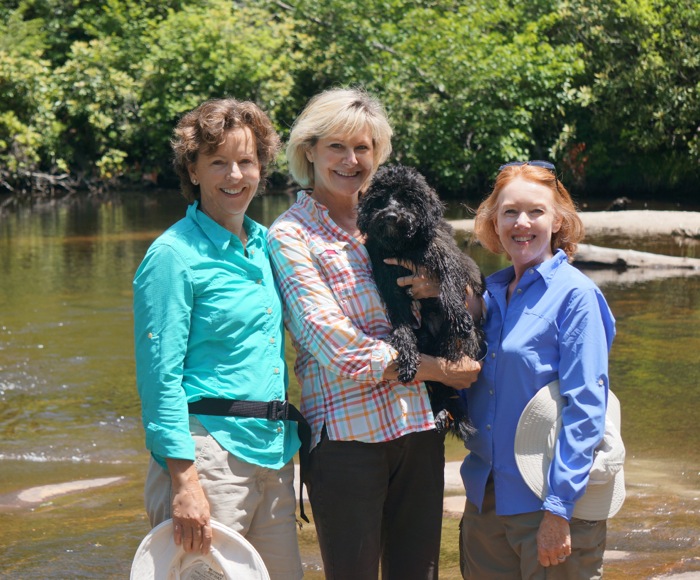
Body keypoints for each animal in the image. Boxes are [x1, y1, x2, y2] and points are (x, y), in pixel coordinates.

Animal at [358, 163, 484, 440]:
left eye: (407, 198)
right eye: (381, 199)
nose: (390, 216)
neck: (403, 247)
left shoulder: (445, 253)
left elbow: (448, 283)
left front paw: (458, 314)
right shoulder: (388, 282)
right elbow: (401, 324)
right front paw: (406, 354)